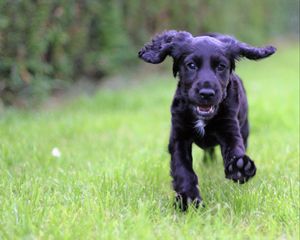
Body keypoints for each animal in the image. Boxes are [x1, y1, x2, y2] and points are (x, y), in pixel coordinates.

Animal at [138, 30, 274, 210]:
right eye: (191, 65)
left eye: (221, 67)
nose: (207, 93)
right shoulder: (178, 137)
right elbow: (183, 169)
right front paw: (188, 200)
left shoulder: (229, 128)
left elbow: (234, 149)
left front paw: (240, 167)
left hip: (244, 127)